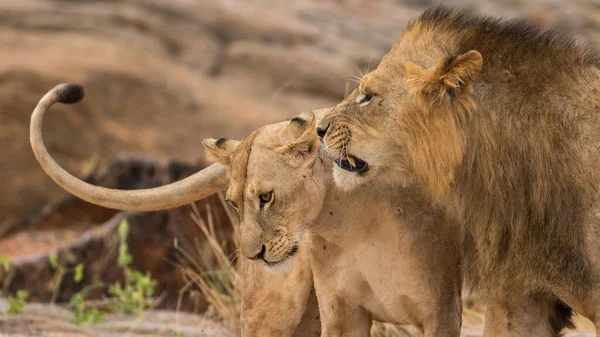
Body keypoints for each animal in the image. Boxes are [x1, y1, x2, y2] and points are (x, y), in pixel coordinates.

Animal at [203, 111, 464, 336]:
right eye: (234, 204)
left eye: (266, 197)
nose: (252, 255)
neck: (355, 226)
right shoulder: (343, 313)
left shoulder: (442, 314)